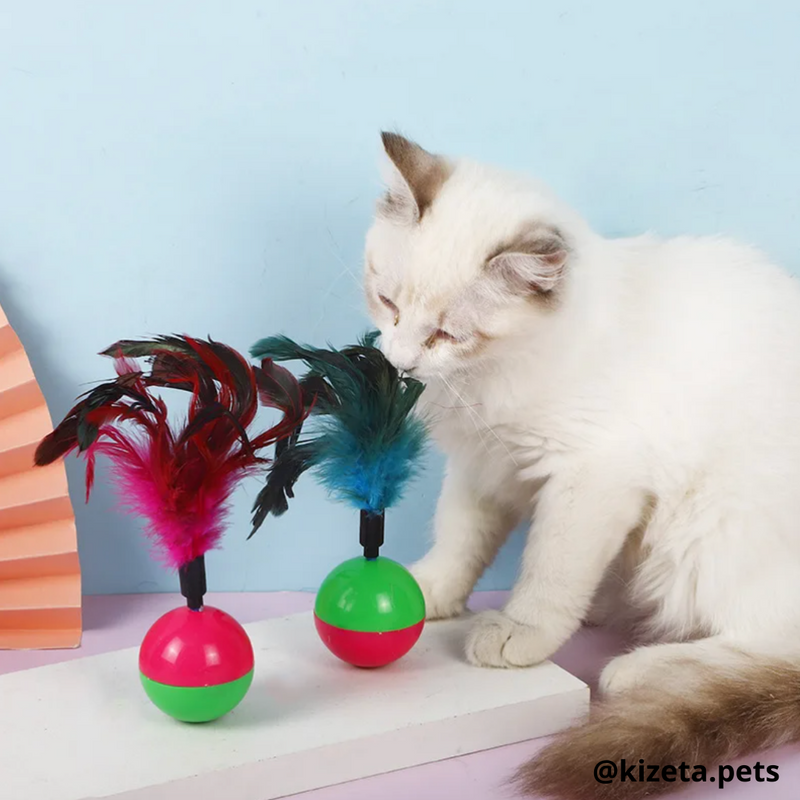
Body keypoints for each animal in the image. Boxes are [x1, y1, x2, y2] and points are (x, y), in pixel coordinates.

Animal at [364, 131, 800, 792]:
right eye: (387, 302)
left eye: (446, 335)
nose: (401, 361)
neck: (488, 377)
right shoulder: (486, 464)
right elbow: (460, 540)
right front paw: (430, 591)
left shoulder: (591, 474)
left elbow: (550, 570)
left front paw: (520, 632)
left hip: (709, 532)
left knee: (772, 649)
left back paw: (645, 671)